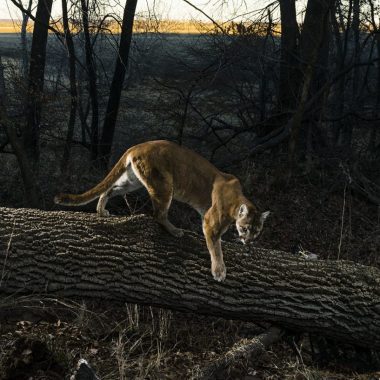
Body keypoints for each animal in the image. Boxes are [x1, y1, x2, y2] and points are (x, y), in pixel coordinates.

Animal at [54, 141, 270, 280]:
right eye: (245, 228)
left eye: (257, 231)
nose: (248, 241)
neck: (236, 202)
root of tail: (138, 145)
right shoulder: (210, 221)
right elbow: (215, 248)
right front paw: (219, 271)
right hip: (163, 185)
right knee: (158, 214)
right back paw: (175, 231)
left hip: (132, 181)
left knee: (110, 189)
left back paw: (101, 210)